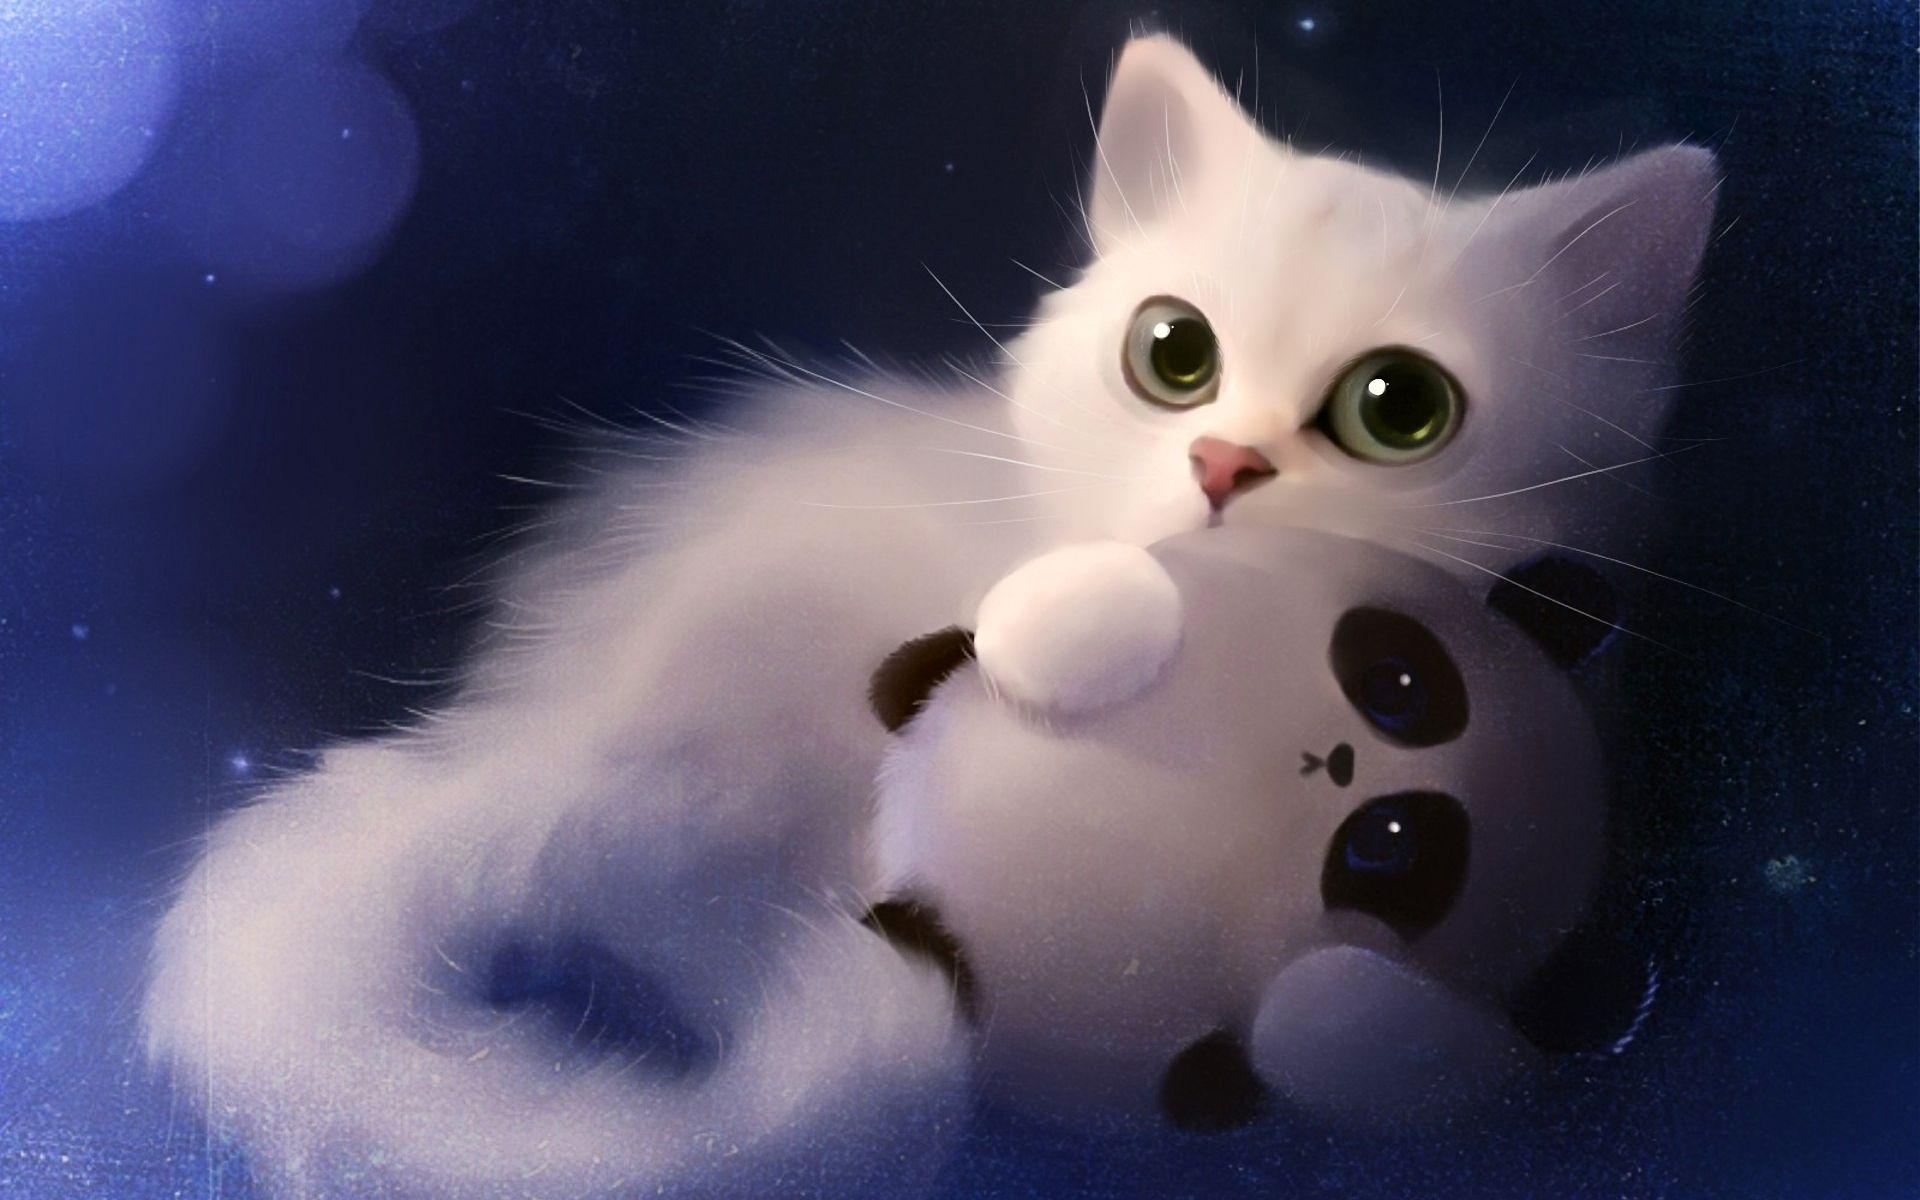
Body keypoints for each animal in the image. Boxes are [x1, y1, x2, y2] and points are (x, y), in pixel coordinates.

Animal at [865, 525, 1651, 1132]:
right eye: (1397, 685)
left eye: (1391, 846)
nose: (1341, 763)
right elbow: (1083, 605)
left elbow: (1350, 1037)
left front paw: (1327, 992)